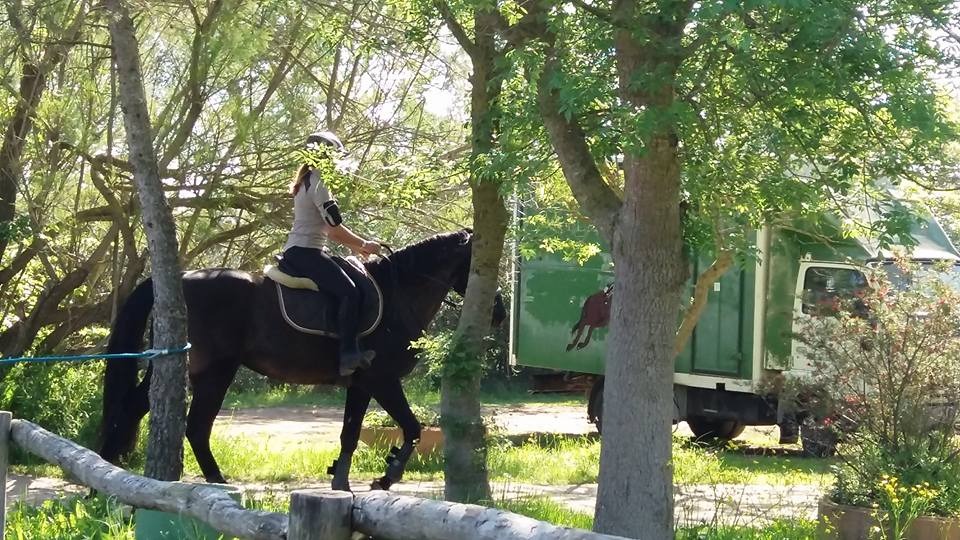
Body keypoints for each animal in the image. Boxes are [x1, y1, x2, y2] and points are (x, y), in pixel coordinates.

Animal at [98, 229, 506, 491]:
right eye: (479, 262)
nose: (499, 314)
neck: (398, 294)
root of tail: (180, 278)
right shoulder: (382, 380)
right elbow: (412, 427)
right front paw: (386, 477)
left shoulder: (361, 384)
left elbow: (350, 433)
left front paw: (341, 481)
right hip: (215, 371)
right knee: (192, 426)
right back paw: (213, 484)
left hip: (189, 368)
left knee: (143, 410)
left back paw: (110, 469)